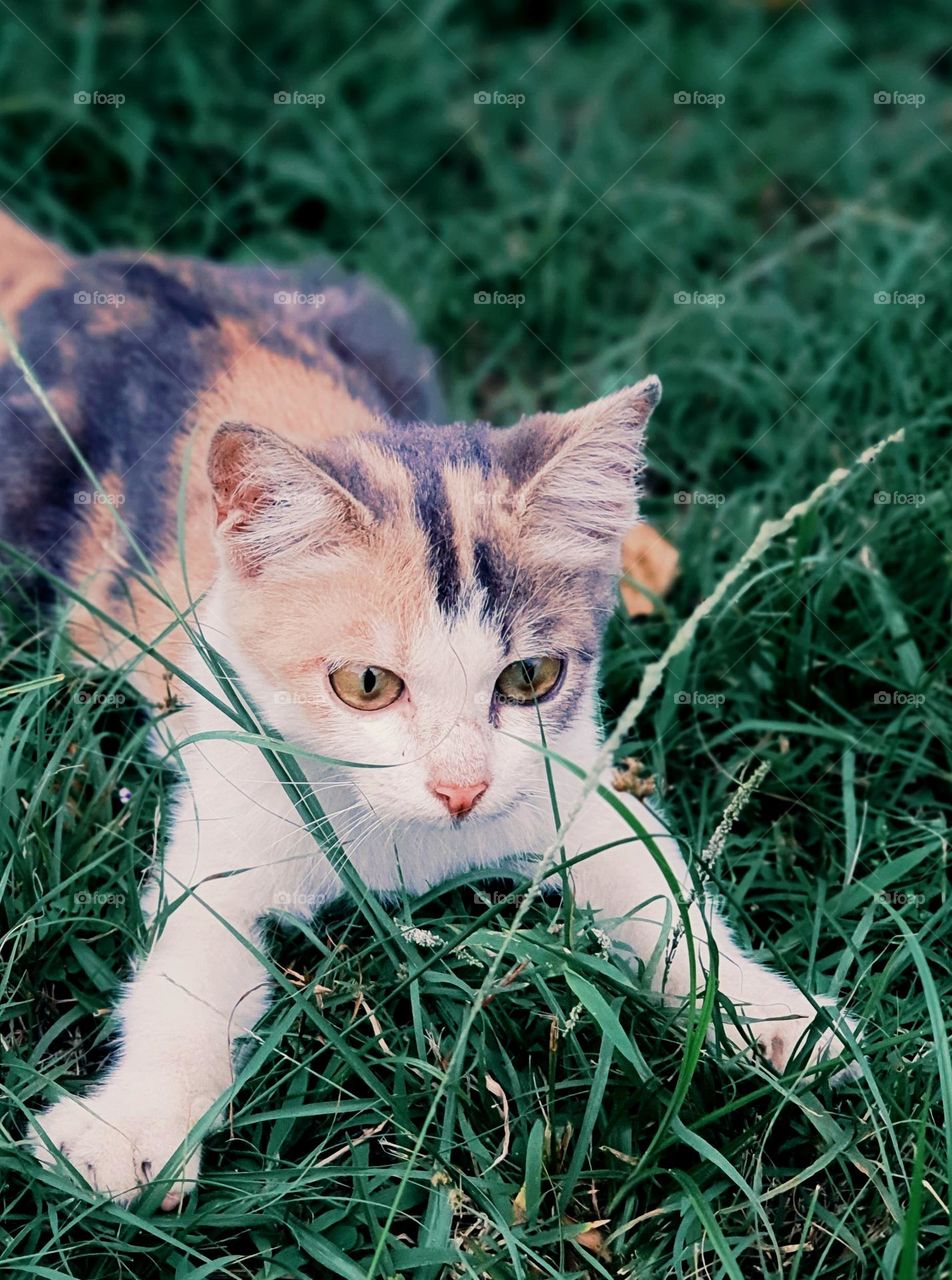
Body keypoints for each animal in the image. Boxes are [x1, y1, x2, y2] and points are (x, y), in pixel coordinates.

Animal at [0, 209, 854, 1208]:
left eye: (530, 678)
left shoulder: (569, 776)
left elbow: (658, 875)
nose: (460, 791)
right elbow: (191, 965)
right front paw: (135, 1126)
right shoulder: (232, 795)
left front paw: (764, 1013)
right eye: (366, 685)